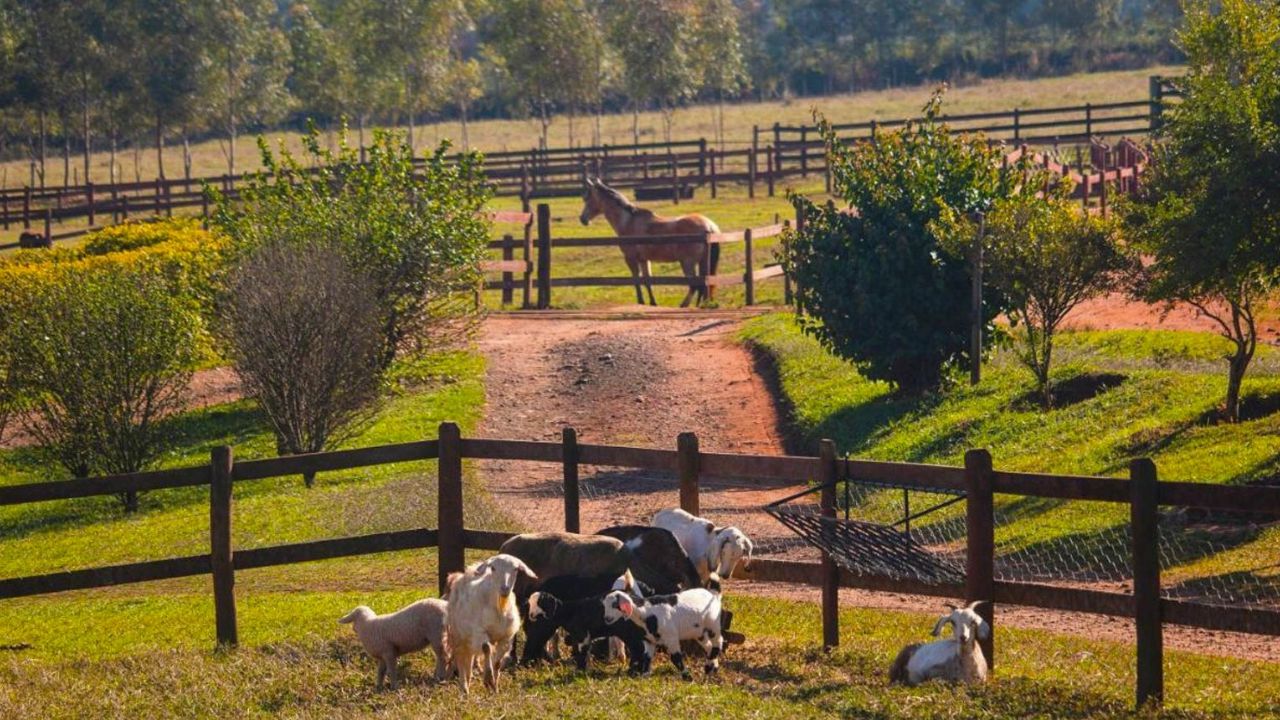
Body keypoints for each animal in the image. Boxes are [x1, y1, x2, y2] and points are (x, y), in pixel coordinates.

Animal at [445, 548, 535, 691]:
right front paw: (488, 678)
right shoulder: (479, 632)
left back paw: (469, 684)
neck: (500, 608)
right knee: (461, 660)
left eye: (516, 569)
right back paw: (464, 688)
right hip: (458, 635)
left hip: (469, 640)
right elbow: (486, 647)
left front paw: (494, 685)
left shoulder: (506, 637)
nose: (505, 588)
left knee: (469, 660)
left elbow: (497, 662)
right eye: (493, 568)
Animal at [581, 178, 721, 307]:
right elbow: (647, 280)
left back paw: (684, 305)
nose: (582, 219)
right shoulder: (644, 260)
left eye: (587, 198)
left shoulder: (630, 259)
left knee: (695, 285)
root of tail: (709, 226)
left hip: (687, 263)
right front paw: (653, 303)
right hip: (703, 262)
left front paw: (641, 302)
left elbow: (636, 280)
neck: (628, 221)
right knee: (705, 284)